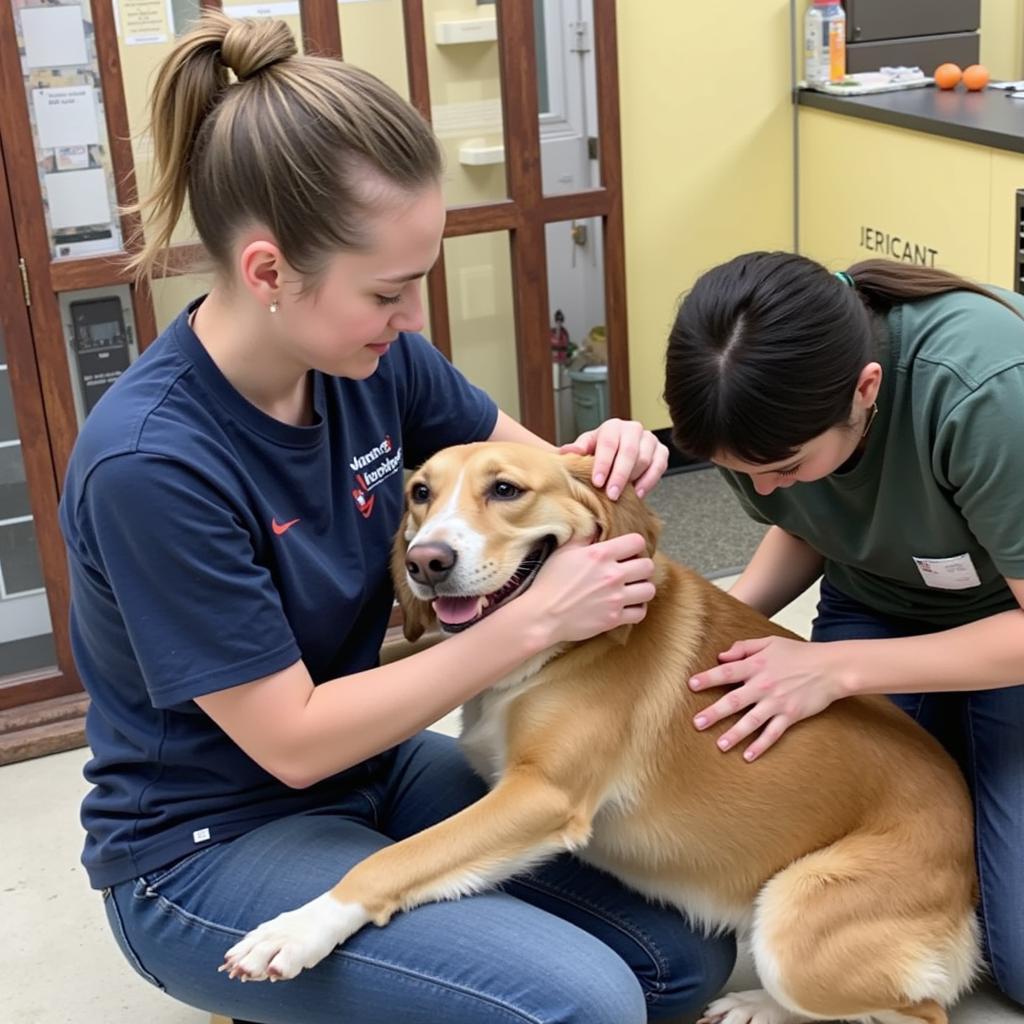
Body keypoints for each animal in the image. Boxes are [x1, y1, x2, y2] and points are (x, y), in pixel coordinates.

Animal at [226, 444, 983, 1024]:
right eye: (419, 493)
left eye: (506, 490)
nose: (425, 560)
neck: (550, 650)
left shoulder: (542, 796)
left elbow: (392, 860)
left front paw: (296, 929)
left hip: (792, 925)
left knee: (916, 1011)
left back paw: (762, 1006)